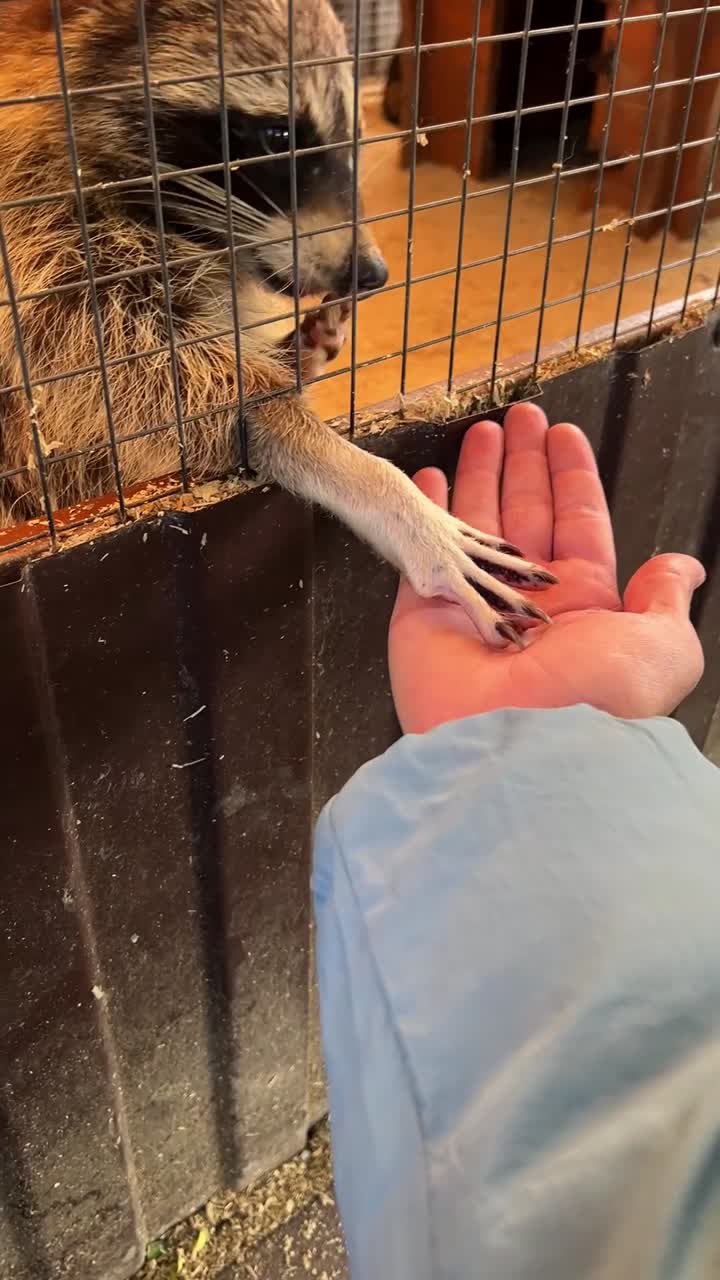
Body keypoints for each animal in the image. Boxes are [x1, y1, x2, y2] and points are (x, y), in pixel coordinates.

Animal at [0, 0, 554, 645]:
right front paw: (380, 489)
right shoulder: (42, 264)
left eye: (352, 137)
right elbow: (133, 399)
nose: (373, 273)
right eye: (278, 136)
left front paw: (298, 352)